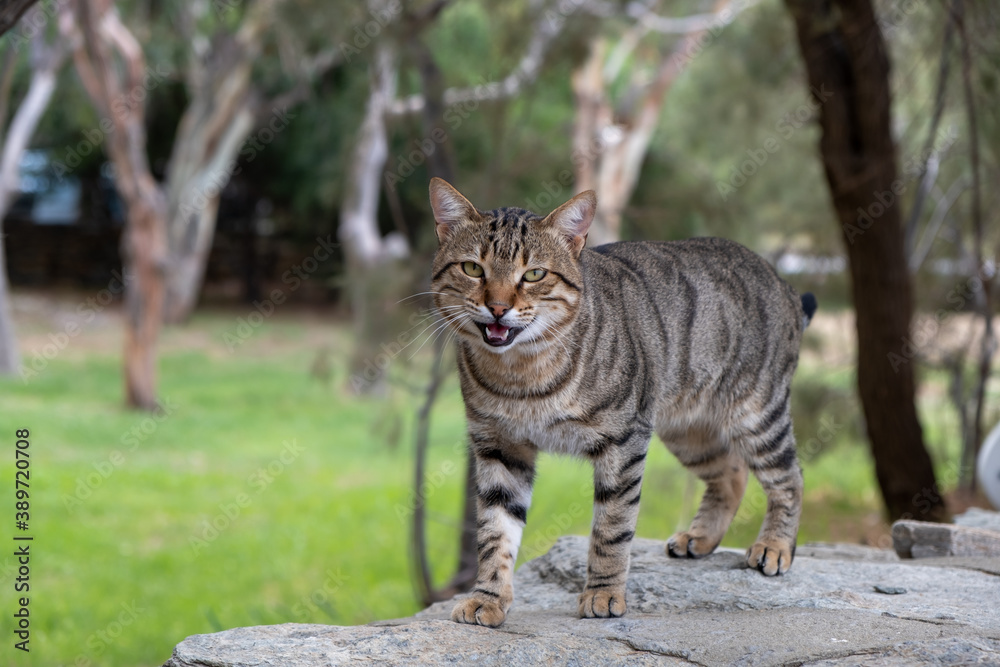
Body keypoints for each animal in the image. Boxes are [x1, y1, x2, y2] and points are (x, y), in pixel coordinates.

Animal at [428, 177, 812, 628]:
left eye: (534, 274)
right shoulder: (499, 447)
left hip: (756, 414)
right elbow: (494, 533)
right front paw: (487, 597)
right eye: (473, 268)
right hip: (688, 431)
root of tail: (782, 280)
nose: (499, 308)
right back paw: (700, 538)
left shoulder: (624, 441)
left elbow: (612, 528)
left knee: (790, 477)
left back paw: (775, 547)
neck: (521, 375)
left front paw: (603, 593)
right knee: (732, 474)